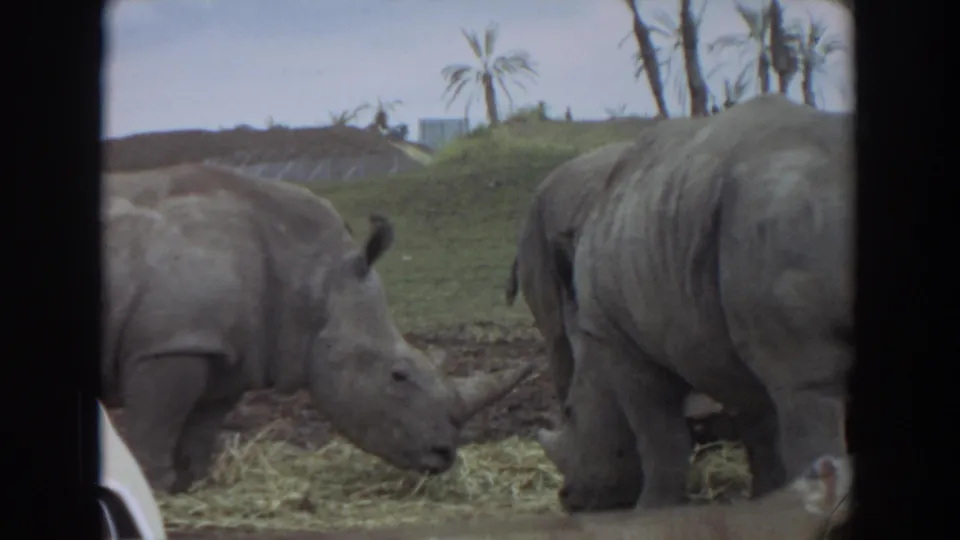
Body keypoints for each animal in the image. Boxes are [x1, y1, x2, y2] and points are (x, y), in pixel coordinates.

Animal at [101, 164, 533, 493]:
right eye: (398, 376)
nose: (444, 454)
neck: (312, 275)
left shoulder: (223, 351)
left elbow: (200, 430)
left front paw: (193, 486)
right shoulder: (171, 342)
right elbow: (156, 425)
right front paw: (156, 489)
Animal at [537, 95, 854, 512]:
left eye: (571, 413)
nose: (568, 499)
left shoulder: (619, 342)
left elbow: (657, 432)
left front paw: (652, 508)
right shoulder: (716, 328)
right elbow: (759, 423)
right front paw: (765, 498)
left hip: (777, 214)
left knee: (806, 388)